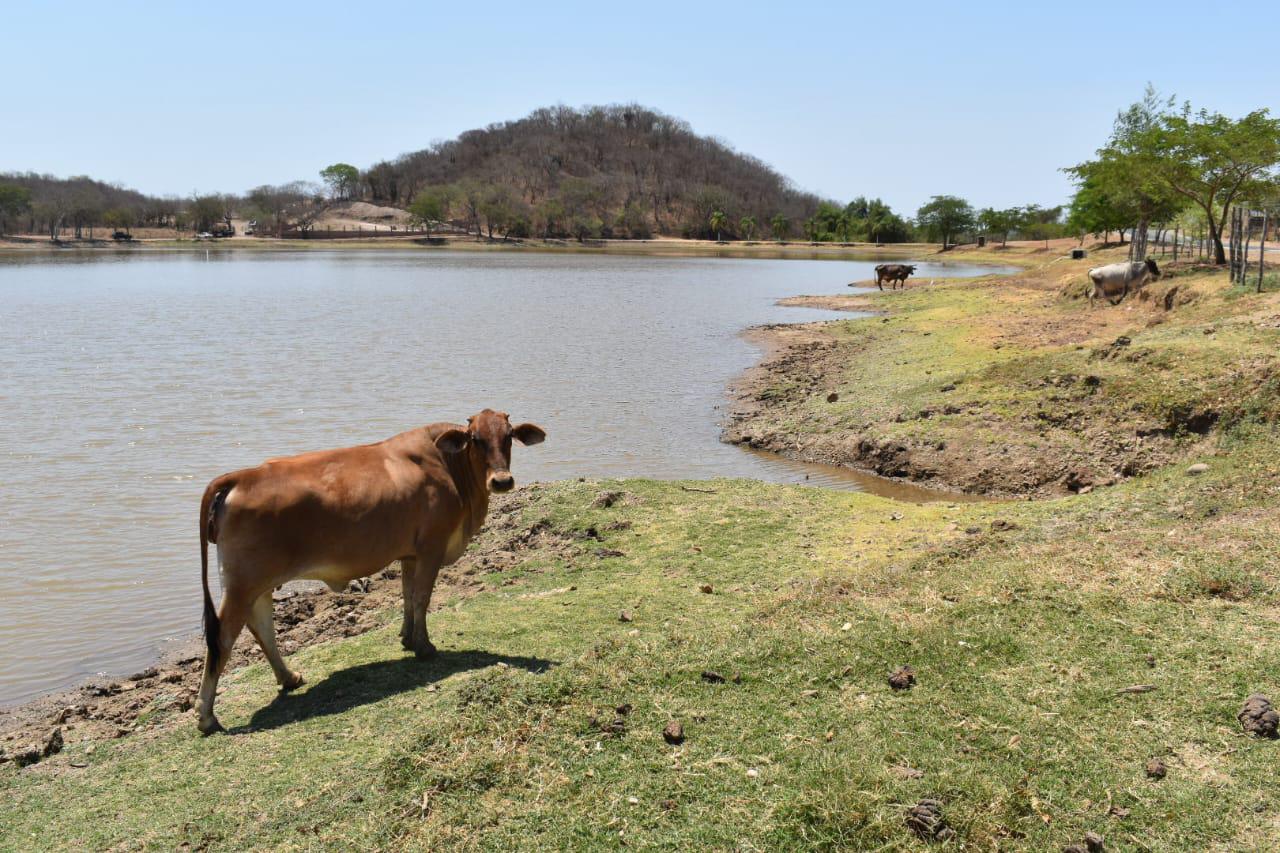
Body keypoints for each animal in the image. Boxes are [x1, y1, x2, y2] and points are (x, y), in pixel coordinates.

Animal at [194, 407, 545, 732]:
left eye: (509, 436)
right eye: (476, 439)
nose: (502, 481)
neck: (449, 467)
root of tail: (242, 476)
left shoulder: (410, 554)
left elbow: (407, 596)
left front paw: (407, 638)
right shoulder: (431, 548)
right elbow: (422, 597)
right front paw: (424, 647)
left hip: (258, 585)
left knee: (262, 628)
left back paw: (289, 677)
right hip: (242, 584)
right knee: (223, 638)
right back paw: (207, 716)